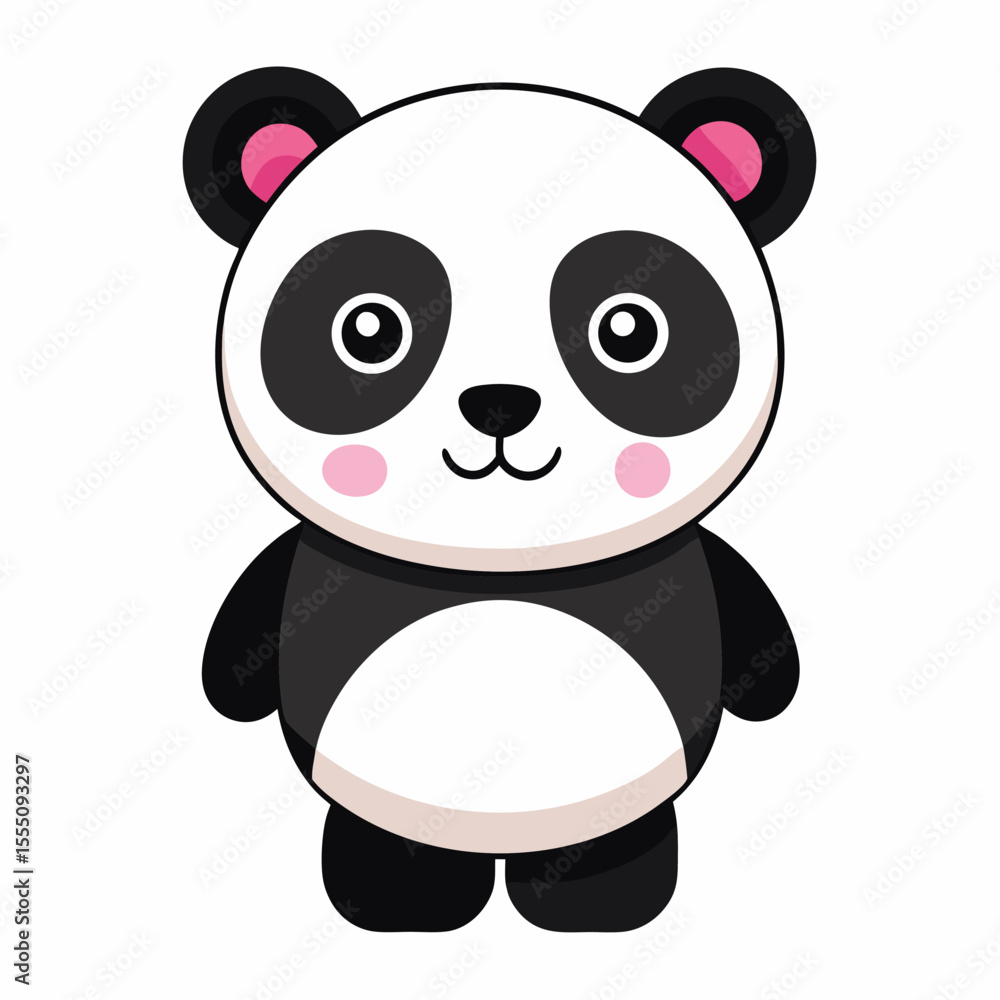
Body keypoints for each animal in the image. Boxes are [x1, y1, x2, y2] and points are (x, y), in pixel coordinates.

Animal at [185, 66, 813, 933]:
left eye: (629, 329)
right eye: (370, 329)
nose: (499, 406)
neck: (501, 565)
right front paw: (224, 688)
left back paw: (601, 903)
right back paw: (399, 903)